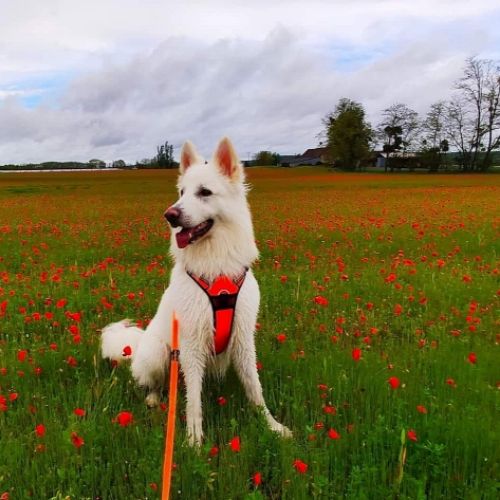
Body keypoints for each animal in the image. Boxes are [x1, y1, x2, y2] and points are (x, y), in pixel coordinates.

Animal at [101, 137, 291, 445]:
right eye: (181, 192)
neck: (217, 268)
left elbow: (255, 388)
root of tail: (137, 345)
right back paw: (153, 400)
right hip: (159, 353)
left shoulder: (243, 338)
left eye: (204, 192)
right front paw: (194, 439)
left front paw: (272, 425)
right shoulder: (190, 344)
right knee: (155, 385)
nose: (170, 215)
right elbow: (193, 400)